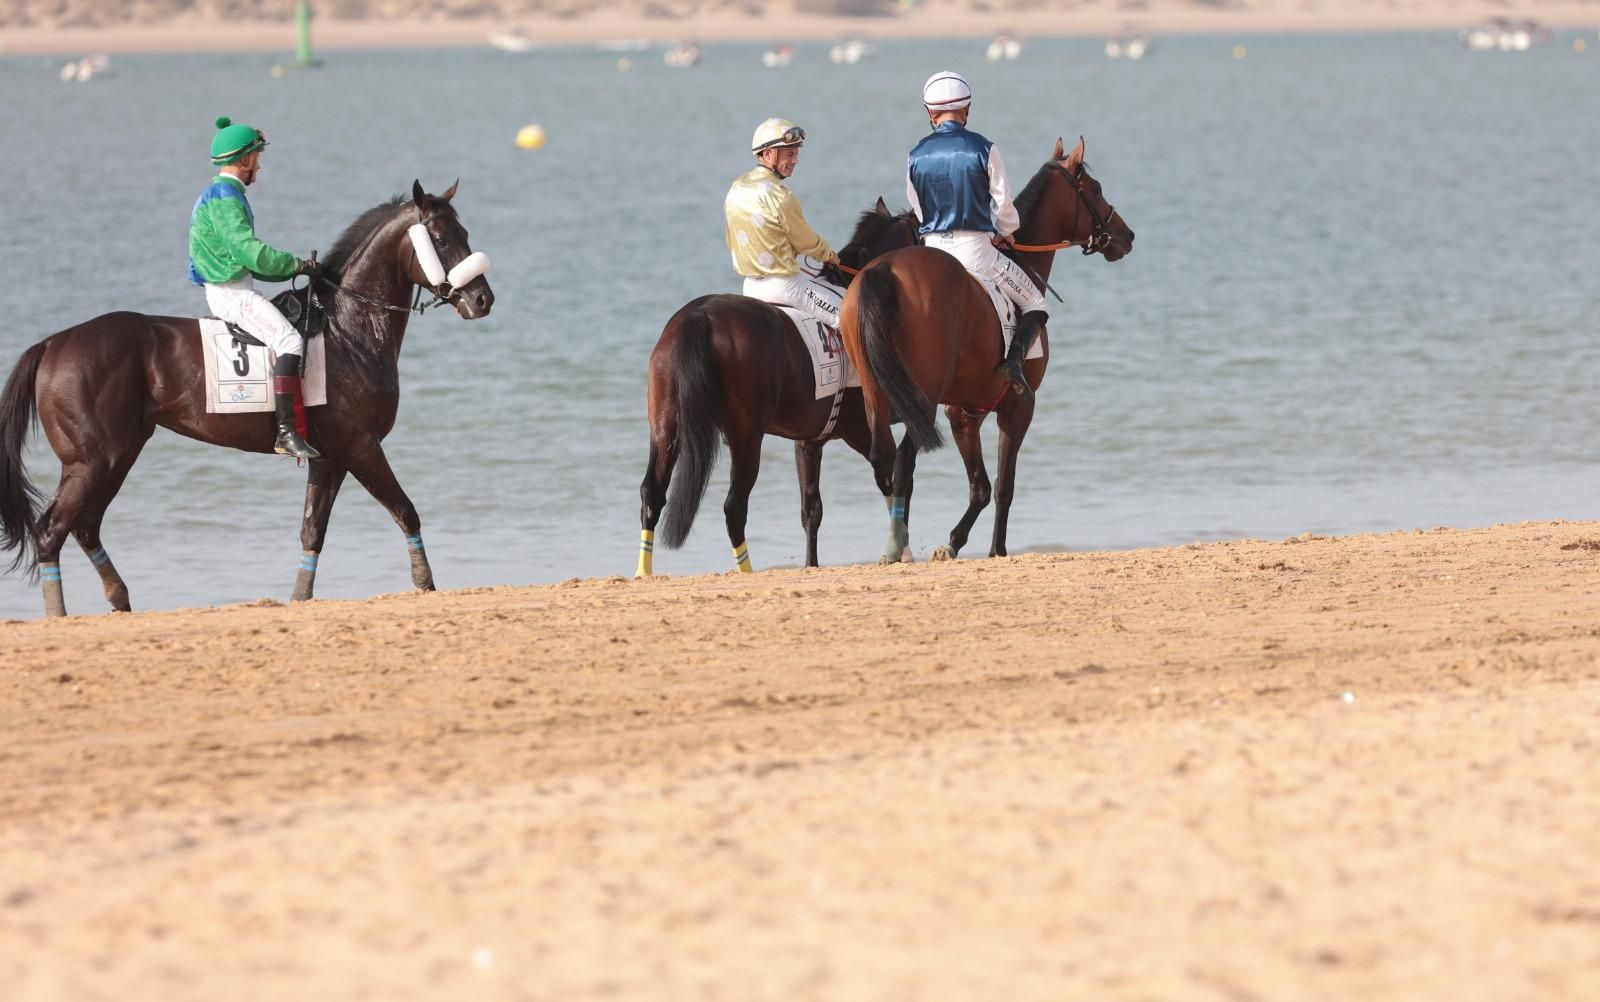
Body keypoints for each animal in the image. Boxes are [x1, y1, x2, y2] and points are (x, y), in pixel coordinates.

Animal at [0, 180, 494, 617]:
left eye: (465, 233)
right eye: (440, 238)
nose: (482, 298)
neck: (348, 330)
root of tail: (53, 343)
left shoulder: (330, 458)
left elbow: (312, 531)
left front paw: (300, 597)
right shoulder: (361, 447)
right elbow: (406, 511)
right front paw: (425, 582)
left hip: (116, 455)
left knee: (84, 525)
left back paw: (118, 598)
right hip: (91, 460)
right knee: (51, 531)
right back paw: (58, 614)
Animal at [636, 197, 922, 576]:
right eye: (921, 239)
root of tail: (698, 316)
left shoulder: (808, 440)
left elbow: (811, 509)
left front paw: (812, 565)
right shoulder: (861, 430)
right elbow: (889, 477)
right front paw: (903, 551)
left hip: (666, 427)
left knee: (652, 494)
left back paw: (643, 572)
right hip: (746, 437)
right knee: (733, 507)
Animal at [841, 137, 1135, 564]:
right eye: (1094, 189)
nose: (1127, 235)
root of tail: (884, 270)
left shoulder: (964, 413)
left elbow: (979, 486)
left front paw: (953, 542)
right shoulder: (1016, 408)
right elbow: (1002, 486)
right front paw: (996, 548)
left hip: (876, 394)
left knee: (883, 458)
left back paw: (896, 544)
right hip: (921, 398)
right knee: (904, 460)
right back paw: (899, 545)